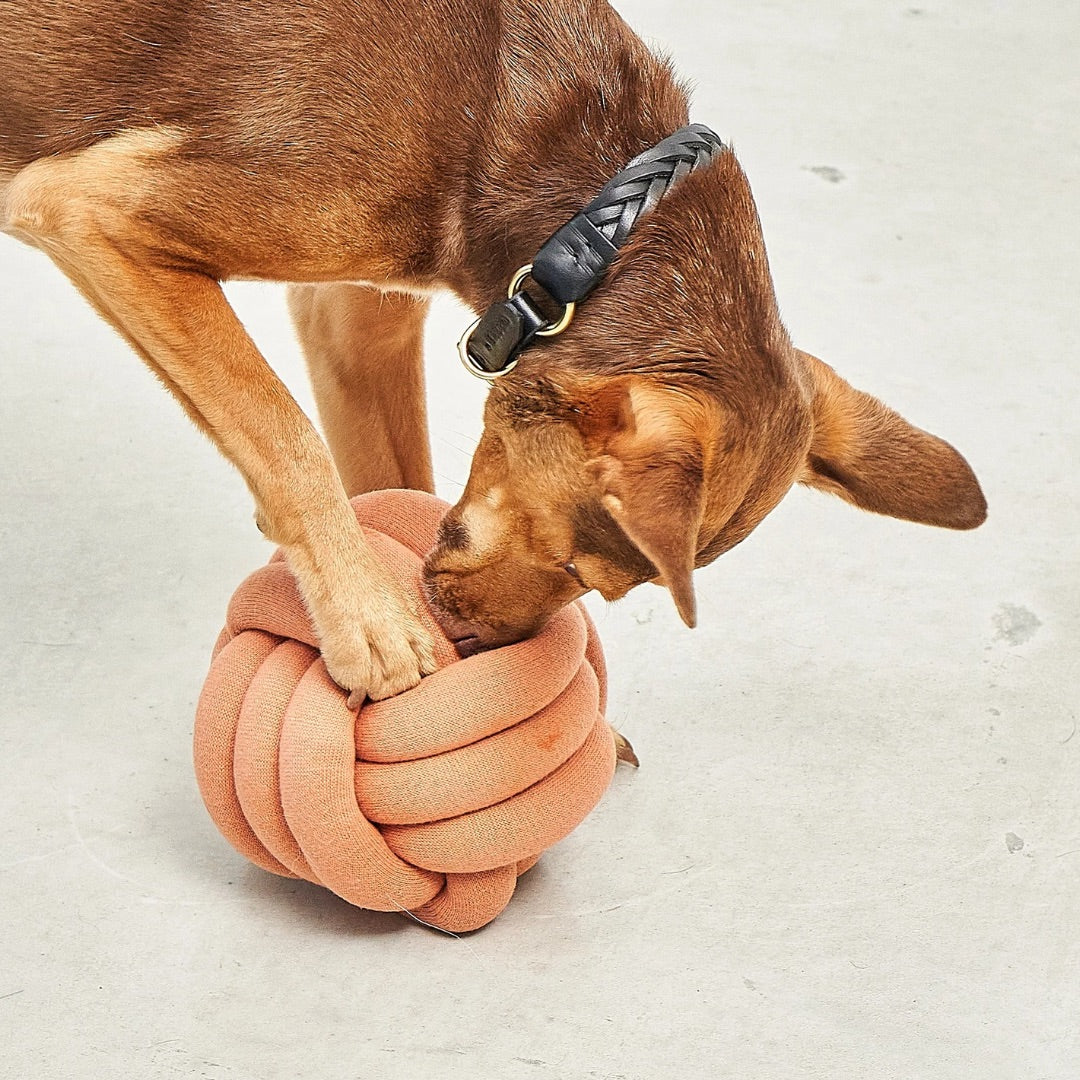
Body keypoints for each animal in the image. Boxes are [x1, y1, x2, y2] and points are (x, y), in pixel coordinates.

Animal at [0, 4, 984, 695]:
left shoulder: (355, 320)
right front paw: (369, 621)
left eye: (604, 591)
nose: (481, 646)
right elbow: (286, 439)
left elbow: (386, 476)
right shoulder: (88, 211)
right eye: (581, 569)